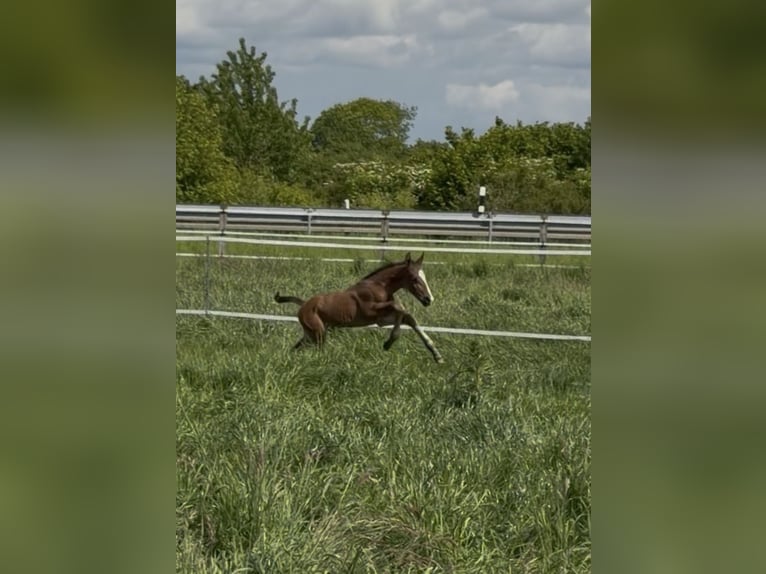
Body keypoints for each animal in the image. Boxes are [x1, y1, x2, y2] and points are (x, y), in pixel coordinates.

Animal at [274, 252, 444, 363]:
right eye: (415, 278)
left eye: (424, 277)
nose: (428, 299)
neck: (379, 287)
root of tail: (304, 305)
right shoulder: (369, 310)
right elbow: (400, 307)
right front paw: (388, 343)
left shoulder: (380, 319)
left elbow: (408, 317)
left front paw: (437, 355)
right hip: (318, 333)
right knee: (316, 350)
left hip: (310, 334)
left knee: (296, 348)